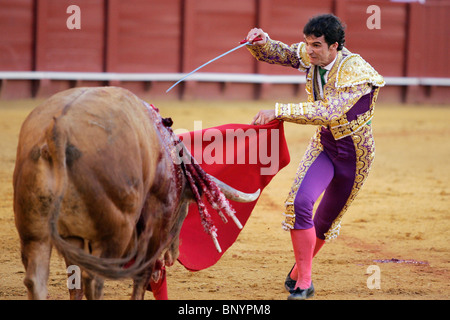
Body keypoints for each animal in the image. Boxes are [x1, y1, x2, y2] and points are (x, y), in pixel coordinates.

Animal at [12, 85, 258, 300]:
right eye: (185, 207)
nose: (174, 256)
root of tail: (58, 130)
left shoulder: (75, 237)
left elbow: (75, 282)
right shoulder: (157, 220)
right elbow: (142, 274)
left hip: (34, 231)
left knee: (38, 281)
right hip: (114, 231)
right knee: (95, 279)